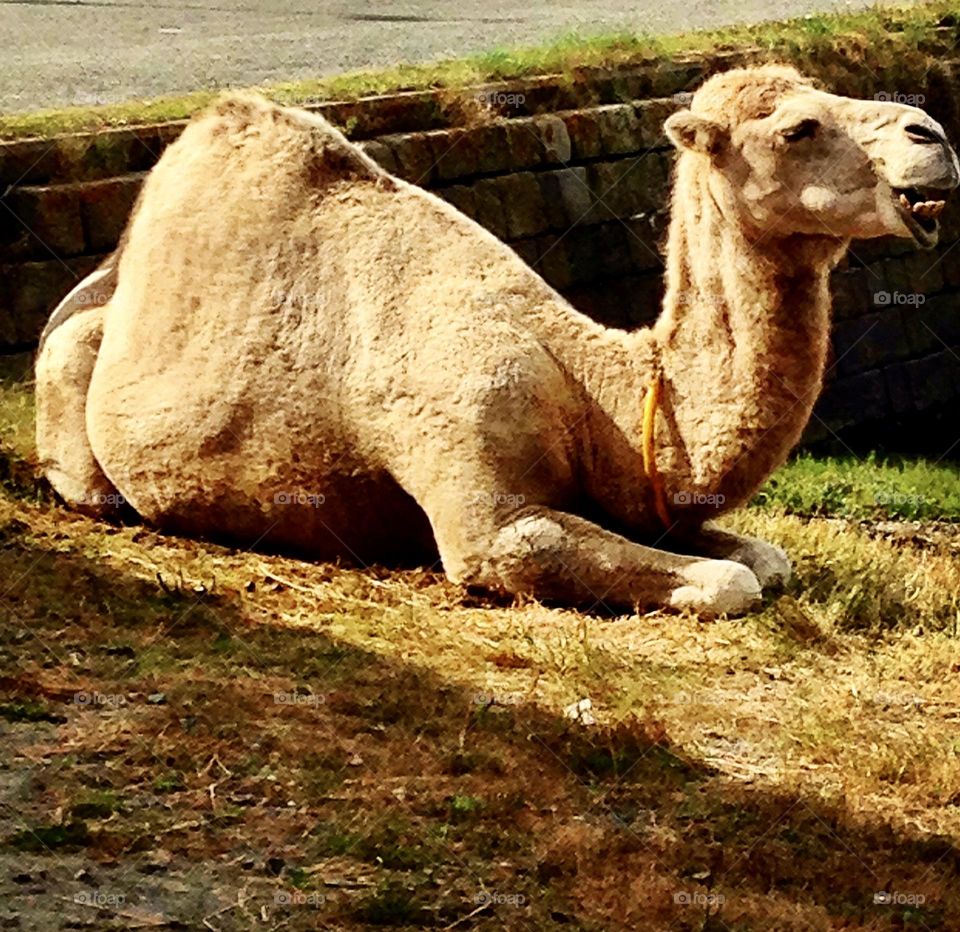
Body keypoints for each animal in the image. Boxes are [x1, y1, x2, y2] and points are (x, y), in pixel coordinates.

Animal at [33, 69, 956, 616]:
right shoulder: (483, 497)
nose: (934, 138)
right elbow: (727, 582)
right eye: (799, 128)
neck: (592, 389)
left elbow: (767, 559)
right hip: (71, 378)